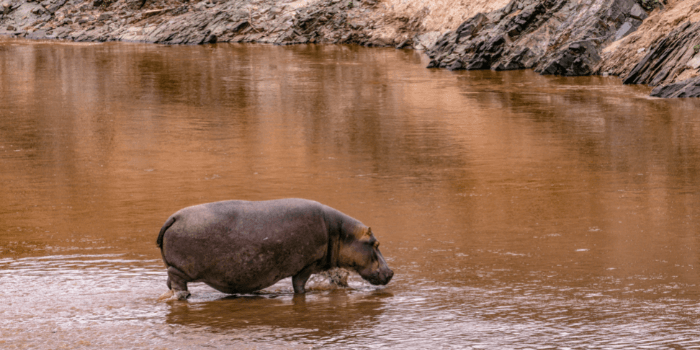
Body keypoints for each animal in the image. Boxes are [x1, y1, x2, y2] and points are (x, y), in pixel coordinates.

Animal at [156, 198, 394, 300]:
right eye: (375, 243)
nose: (391, 272)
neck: (340, 232)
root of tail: (173, 217)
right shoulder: (306, 265)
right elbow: (299, 286)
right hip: (182, 269)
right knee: (177, 282)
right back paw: (183, 296)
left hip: (174, 267)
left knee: (169, 282)